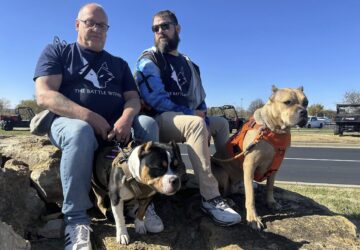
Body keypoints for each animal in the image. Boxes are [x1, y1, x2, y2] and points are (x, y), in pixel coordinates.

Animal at [212, 86, 308, 230]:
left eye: (306, 102)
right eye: (287, 102)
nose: (304, 112)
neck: (274, 130)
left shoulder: (274, 168)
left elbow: (270, 186)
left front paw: (271, 202)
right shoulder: (249, 166)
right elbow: (250, 196)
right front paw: (253, 218)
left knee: (236, 188)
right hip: (222, 174)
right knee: (224, 191)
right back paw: (228, 199)